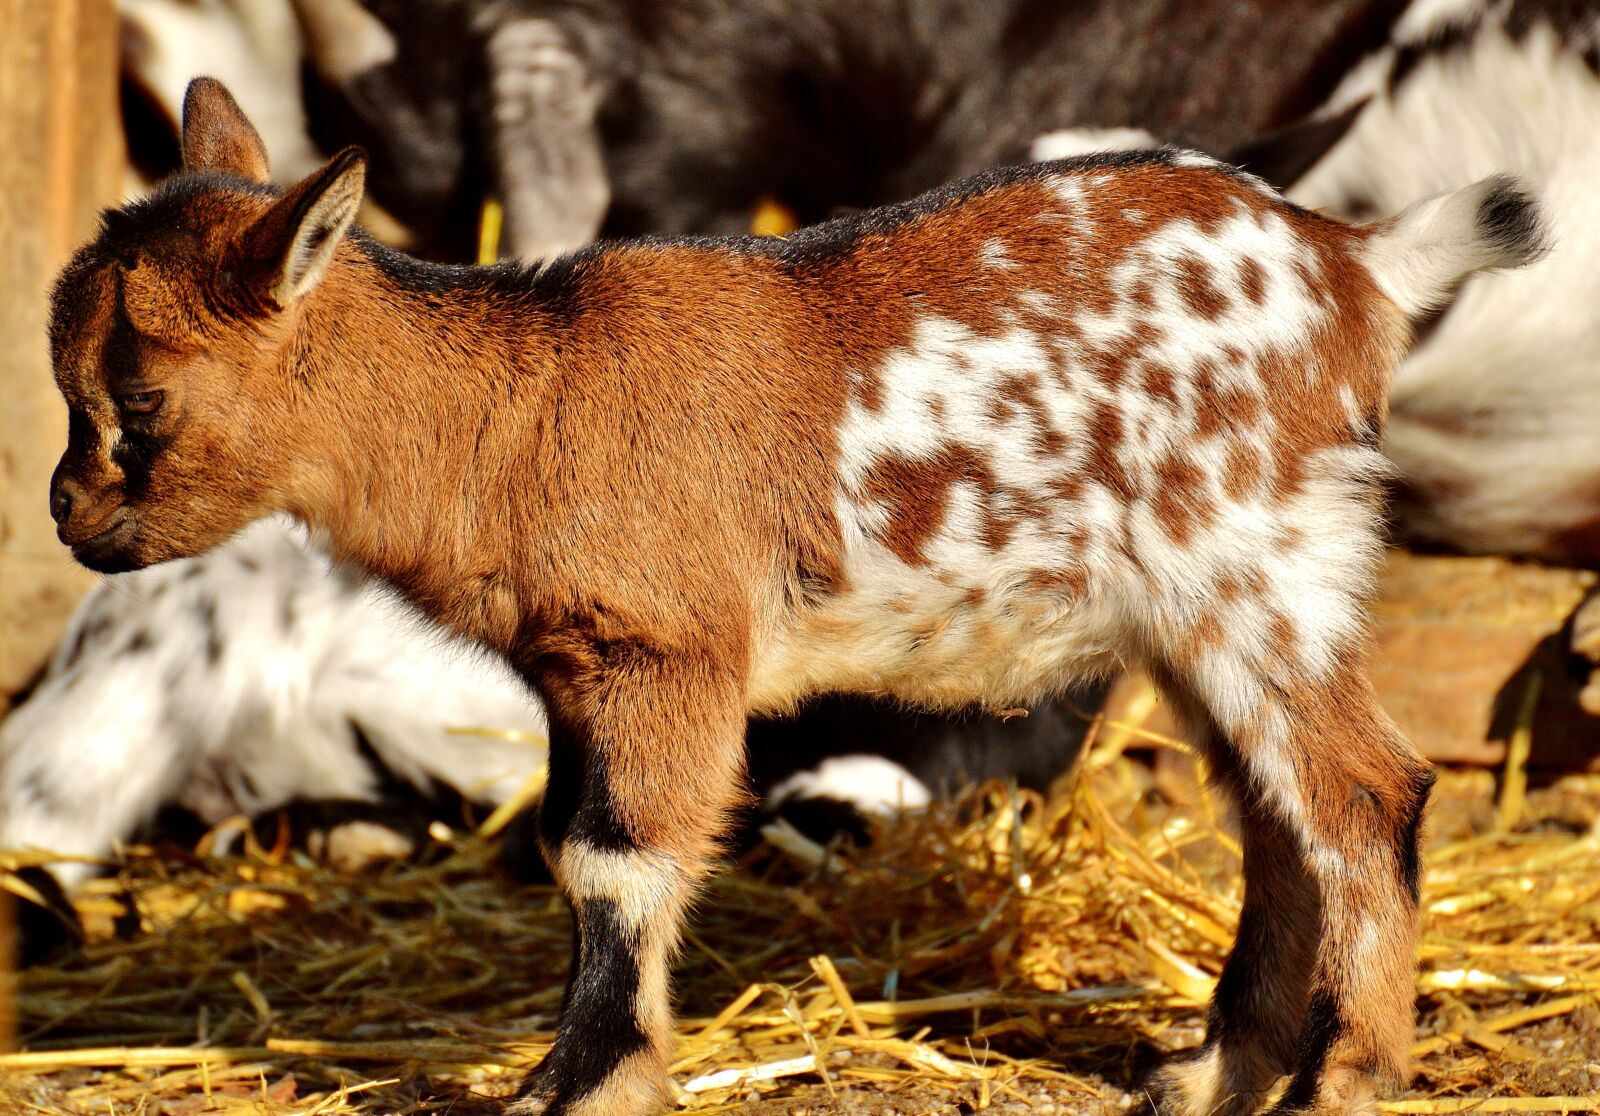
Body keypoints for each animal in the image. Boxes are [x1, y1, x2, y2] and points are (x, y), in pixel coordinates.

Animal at [47, 78, 1545, 1116]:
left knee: (1362, 797)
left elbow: (616, 861)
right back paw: (1214, 1073)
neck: (513, 407)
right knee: (1278, 818)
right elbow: (577, 854)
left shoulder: (666, 656)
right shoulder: (577, 676)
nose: (67, 514)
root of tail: (1357, 264)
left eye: (140, 400)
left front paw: (583, 1085)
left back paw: (1340, 1082)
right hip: (1208, 612)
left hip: (1257, 570)